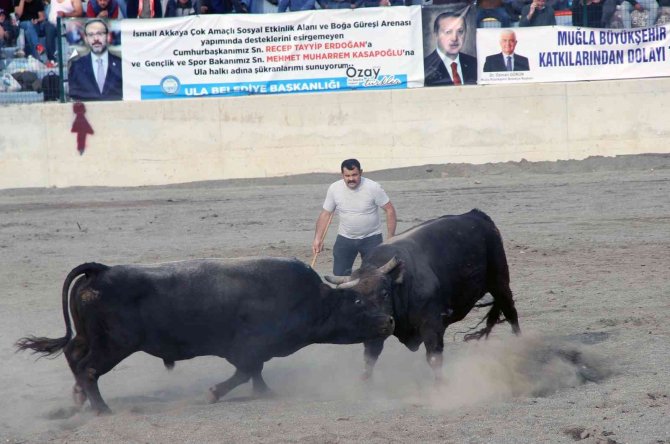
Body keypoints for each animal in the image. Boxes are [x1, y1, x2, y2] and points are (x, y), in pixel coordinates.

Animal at [15, 256, 396, 412]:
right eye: (359, 301)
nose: (389, 322)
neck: (312, 299)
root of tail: (102, 271)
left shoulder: (255, 351)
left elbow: (255, 373)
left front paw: (265, 392)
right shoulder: (248, 348)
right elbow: (245, 372)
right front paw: (214, 393)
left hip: (89, 338)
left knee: (74, 358)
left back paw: (78, 398)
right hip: (114, 346)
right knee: (89, 368)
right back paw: (101, 409)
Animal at [328, 210, 524, 380]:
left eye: (384, 293)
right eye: (358, 300)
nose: (384, 322)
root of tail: (476, 214)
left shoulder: (432, 324)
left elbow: (434, 358)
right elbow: (369, 358)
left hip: (500, 283)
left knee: (511, 314)